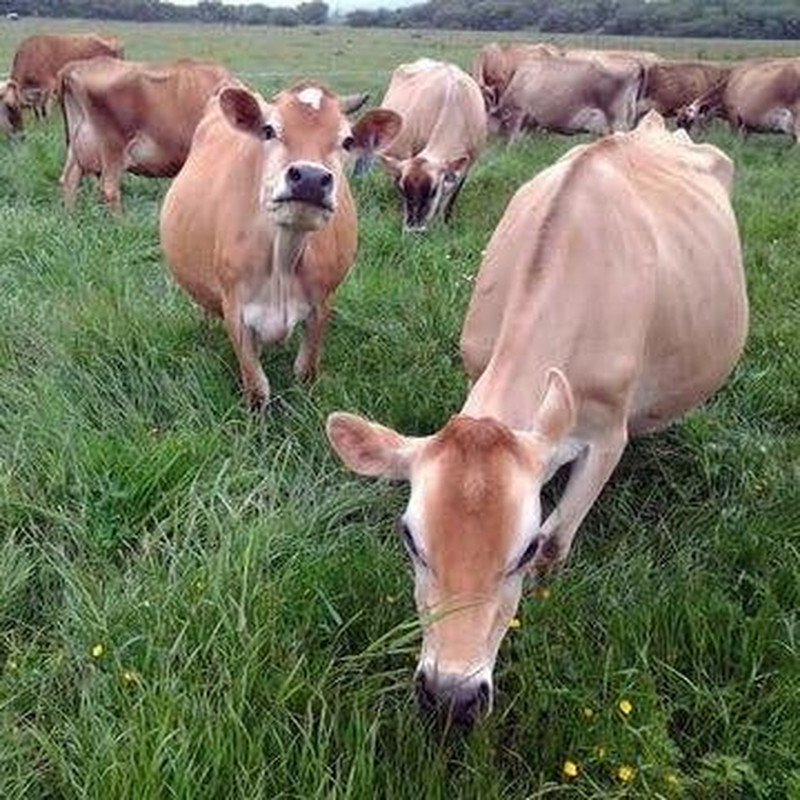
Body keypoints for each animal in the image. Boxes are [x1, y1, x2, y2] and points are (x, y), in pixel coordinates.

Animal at [159, 81, 401, 408]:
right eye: (269, 130)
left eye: (348, 141)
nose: (310, 177)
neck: (282, 259)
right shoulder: (235, 310)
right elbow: (257, 388)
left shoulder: (320, 306)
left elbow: (305, 371)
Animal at [376, 59, 486, 230]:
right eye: (404, 190)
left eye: (433, 191)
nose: (413, 229)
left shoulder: (468, 164)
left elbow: (451, 196)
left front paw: (445, 222)